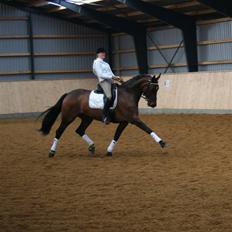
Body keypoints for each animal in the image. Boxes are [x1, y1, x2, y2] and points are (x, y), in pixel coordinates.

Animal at [39, 74, 167, 158]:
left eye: (157, 88)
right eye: (153, 88)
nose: (153, 104)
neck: (128, 94)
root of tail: (68, 94)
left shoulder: (125, 121)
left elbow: (117, 135)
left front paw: (109, 151)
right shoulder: (134, 119)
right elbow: (147, 129)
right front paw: (162, 142)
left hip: (87, 118)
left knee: (79, 130)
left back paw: (92, 147)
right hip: (68, 117)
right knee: (59, 131)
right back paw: (52, 152)